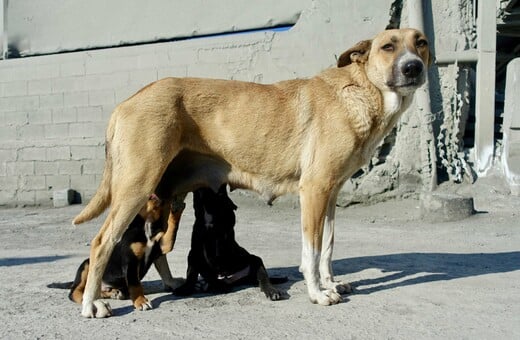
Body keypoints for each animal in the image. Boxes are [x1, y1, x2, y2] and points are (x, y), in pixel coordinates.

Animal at [72, 27, 430, 318]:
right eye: (387, 46)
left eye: (421, 42)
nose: (414, 67)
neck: (359, 91)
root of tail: (126, 102)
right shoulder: (313, 191)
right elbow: (311, 252)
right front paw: (317, 293)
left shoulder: (330, 194)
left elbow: (327, 246)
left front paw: (331, 284)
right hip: (136, 189)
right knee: (101, 243)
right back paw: (92, 303)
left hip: (163, 197)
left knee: (158, 246)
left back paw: (171, 283)